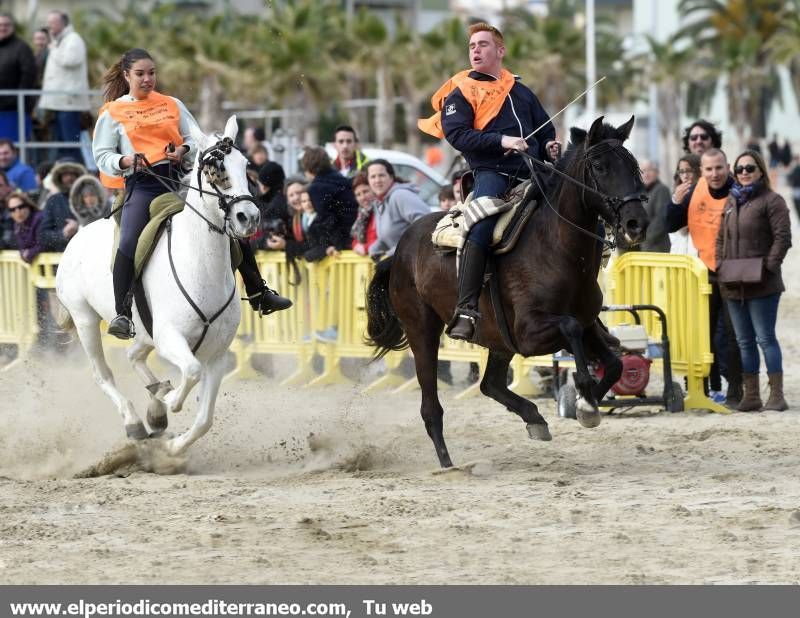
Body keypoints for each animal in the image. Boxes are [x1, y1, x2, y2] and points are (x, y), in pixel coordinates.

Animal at [55, 114, 260, 452]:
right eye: (214, 170)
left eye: (245, 165)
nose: (249, 217)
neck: (200, 265)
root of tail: (78, 235)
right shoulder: (169, 338)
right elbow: (190, 373)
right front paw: (170, 400)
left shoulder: (217, 355)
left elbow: (205, 419)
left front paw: (173, 447)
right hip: (85, 320)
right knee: (103, 374)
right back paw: (137, 421)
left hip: (144, 334)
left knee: (133, 356)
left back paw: (155, 405)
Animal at [366, 115, 648, 464]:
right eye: (599, 165)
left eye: (634, 165)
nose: (637, 223)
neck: (556, 247)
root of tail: (398, 251)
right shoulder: (529, 333)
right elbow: (569, 329)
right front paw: (585, 398)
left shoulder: (586, 326)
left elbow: (615, 363)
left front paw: (588, 402)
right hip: (423, 333)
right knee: (431, 408)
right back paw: (447, 463)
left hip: (497, 340)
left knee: (490, 385)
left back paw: (534, 417)